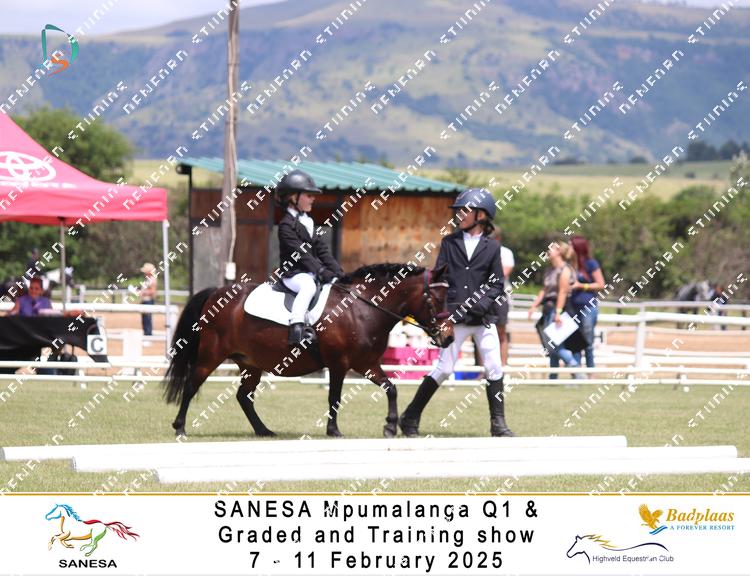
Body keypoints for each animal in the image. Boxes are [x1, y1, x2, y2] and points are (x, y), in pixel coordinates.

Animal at [164, 263, 454, 439]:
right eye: (438, 299)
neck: (361, 309)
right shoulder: (339, 363)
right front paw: (334, 430)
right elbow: (334, 398)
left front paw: (390, 426)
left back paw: (264, 430)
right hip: (211, 355)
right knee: (191, 386)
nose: (449, 337)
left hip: (251, 363)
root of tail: (217, 293)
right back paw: (180, 428)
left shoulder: (366, 363)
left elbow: (390, 388)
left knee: (244, 397)